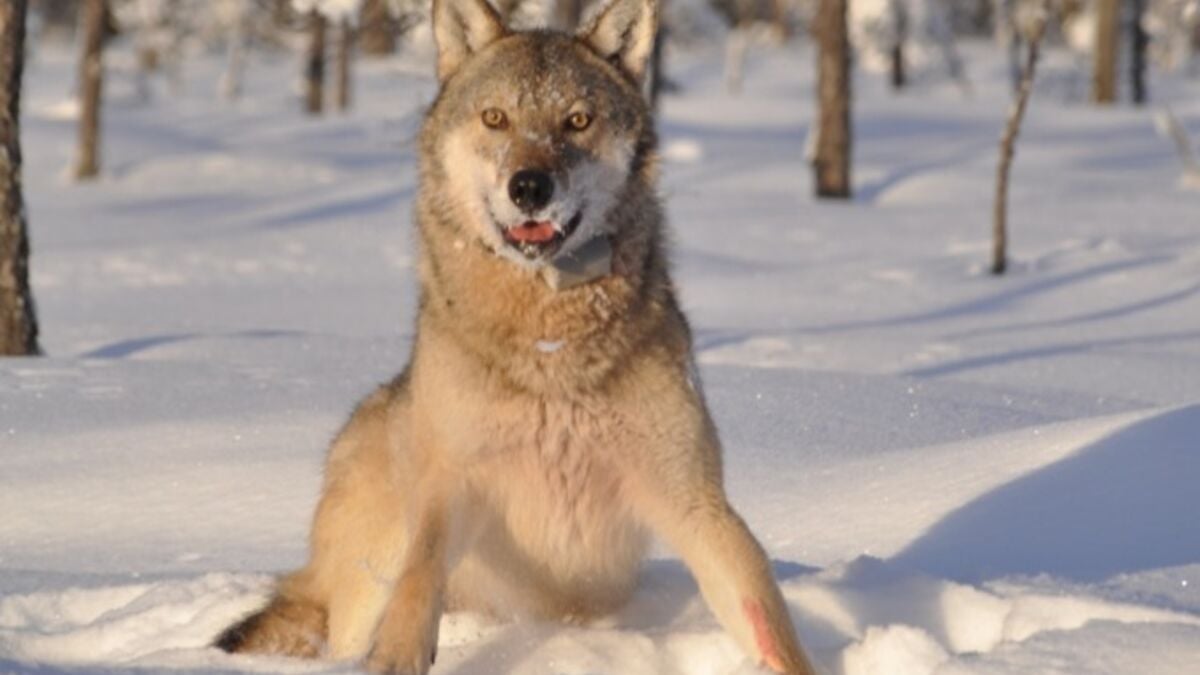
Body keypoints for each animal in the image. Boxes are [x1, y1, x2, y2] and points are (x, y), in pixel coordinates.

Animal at [215, 0, 816, 673]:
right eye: (495, 118)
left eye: (576, 120)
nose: (529, 187)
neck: (548, 343)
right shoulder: (451, 488)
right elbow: (421, 578)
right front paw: (399, 655)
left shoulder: (694, 498)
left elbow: (765, 617)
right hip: (370, 570)